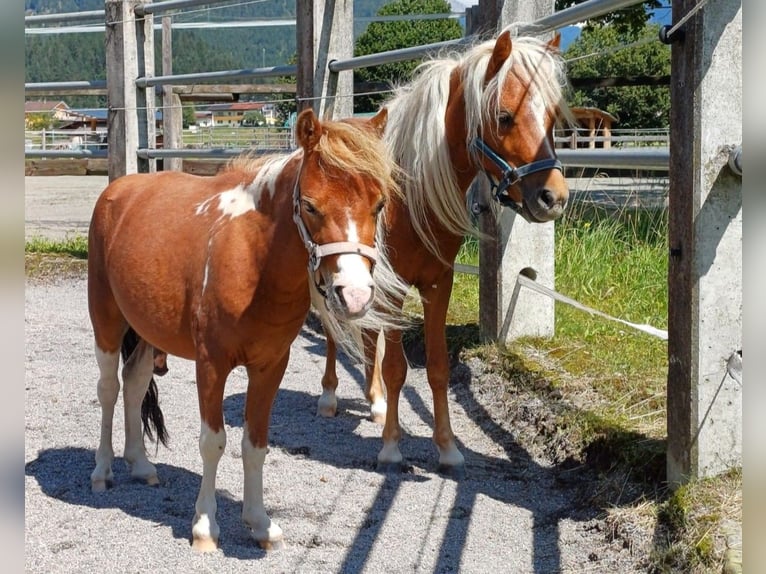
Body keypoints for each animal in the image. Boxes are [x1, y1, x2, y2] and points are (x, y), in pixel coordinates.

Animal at [318, 31, 576, 480]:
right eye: (504, 116)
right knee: (337, 332)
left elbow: (437, 368)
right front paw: (391, 447)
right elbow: (397, 367)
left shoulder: (438, 283)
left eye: (550, 118)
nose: (553, 198)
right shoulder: (394, 287)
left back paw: (374, 400)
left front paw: (447, 448)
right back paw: (331, 397)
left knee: (367, 336)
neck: (411, 192)